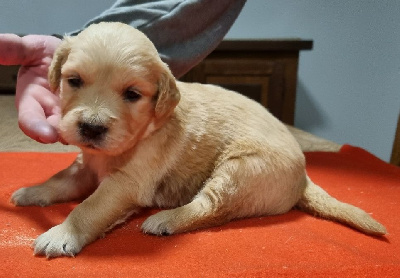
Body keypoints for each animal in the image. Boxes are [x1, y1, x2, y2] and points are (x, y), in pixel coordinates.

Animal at [9, 22, 386, 258]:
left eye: (132, 94)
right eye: (74, 81)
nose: (91, 128)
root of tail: (304, 176)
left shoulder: (126, 183)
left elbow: (89, 208)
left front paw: (62, 234)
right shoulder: (87, 164)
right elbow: (61, 179)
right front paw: (34, 191)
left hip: (239, 170)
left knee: (210, 207)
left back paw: (165, 220)